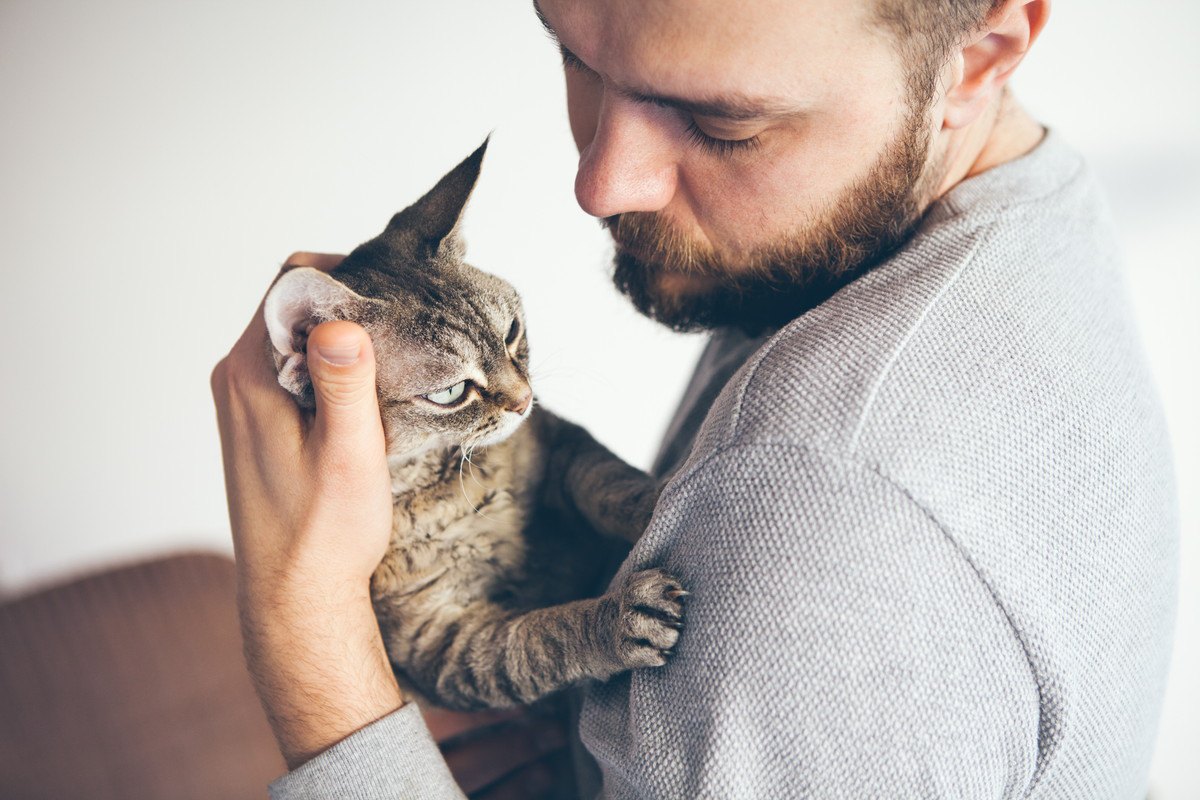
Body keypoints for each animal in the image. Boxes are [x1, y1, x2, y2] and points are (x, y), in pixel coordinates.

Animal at [267, 139, 691, 714]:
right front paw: (619, 618)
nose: (524, 399)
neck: (461, 481)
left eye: (511, 332)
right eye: (450, 393)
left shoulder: (562, 444)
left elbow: (611, 483)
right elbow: (541, 640)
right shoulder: (445, 638)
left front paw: (657, 498)